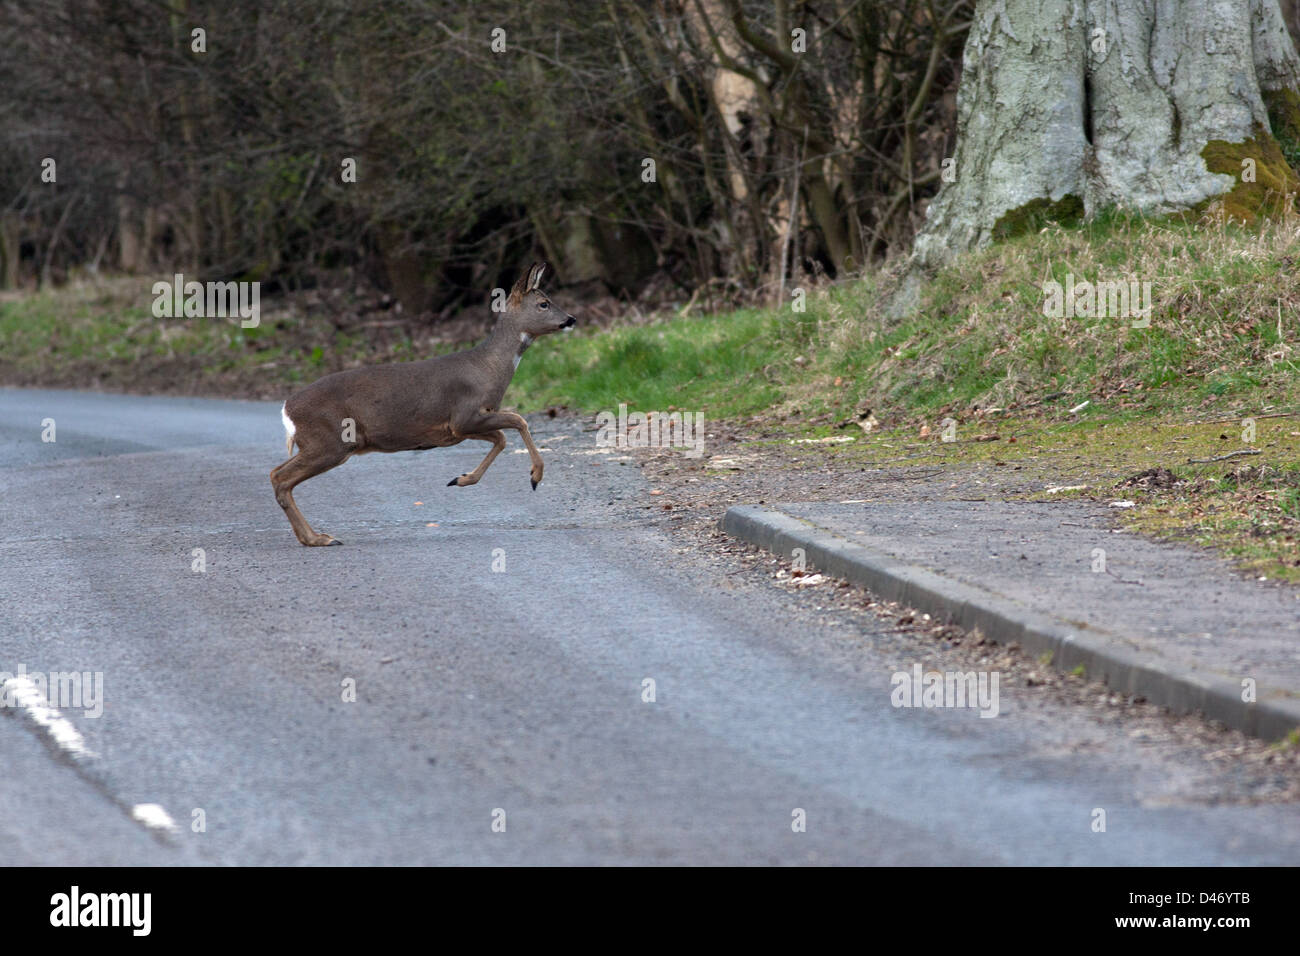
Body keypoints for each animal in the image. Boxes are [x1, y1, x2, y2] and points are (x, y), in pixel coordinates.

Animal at [269, 261, 574, 546]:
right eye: (544, 303)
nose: (571, 319)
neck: (489, 369)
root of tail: (286, 408)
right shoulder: (464, 415)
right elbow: (518, 421)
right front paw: (535, 476)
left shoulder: (460, 428)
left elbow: (500, 438)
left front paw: (461, 478)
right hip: (331, 440)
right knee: (280, 477)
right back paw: (318, 538)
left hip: (322, 443)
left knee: (276, 473)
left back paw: (314, 536)